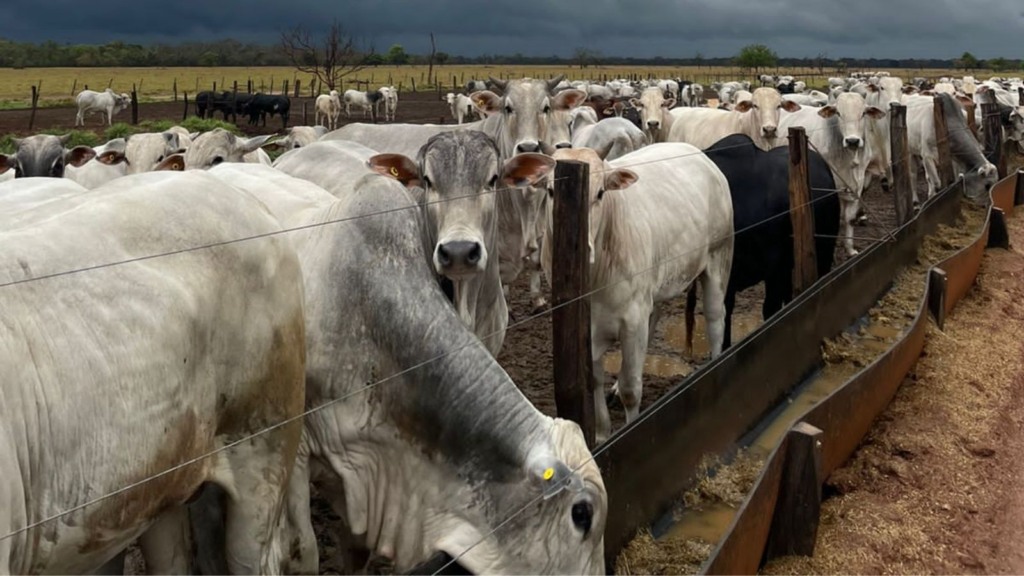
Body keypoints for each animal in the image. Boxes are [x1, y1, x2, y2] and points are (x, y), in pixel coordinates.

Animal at [540, 143, 733, 438]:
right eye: (550, 190)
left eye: (601, 193)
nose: (585, 249)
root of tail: (700, 155)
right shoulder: (593, 328)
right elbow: (594, 380)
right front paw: (602, 433)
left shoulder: (632, 321)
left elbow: (632, 389)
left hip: (718, 259)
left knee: (715, 320)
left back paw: (715, 363)